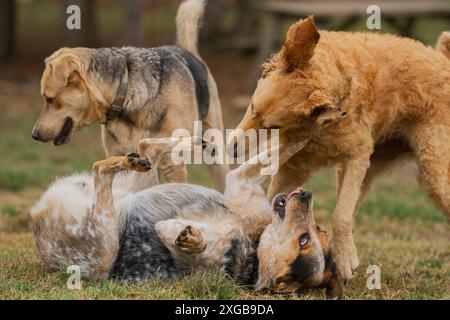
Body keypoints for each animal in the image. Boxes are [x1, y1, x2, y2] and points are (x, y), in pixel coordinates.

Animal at [32, 0, 229, 190]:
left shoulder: (173, 166)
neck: (126, 93)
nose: (34, 135)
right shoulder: (119, 159)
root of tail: (186, 51)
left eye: (49, 99)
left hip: (216, 156)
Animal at [234, 17, 448, 282]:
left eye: (273, 126)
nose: (228, 148)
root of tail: (442, 59)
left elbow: (341, 214)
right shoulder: (293, 168)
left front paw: (346, 262)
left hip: (435, 176)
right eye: (252, 107)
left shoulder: (357, 157)